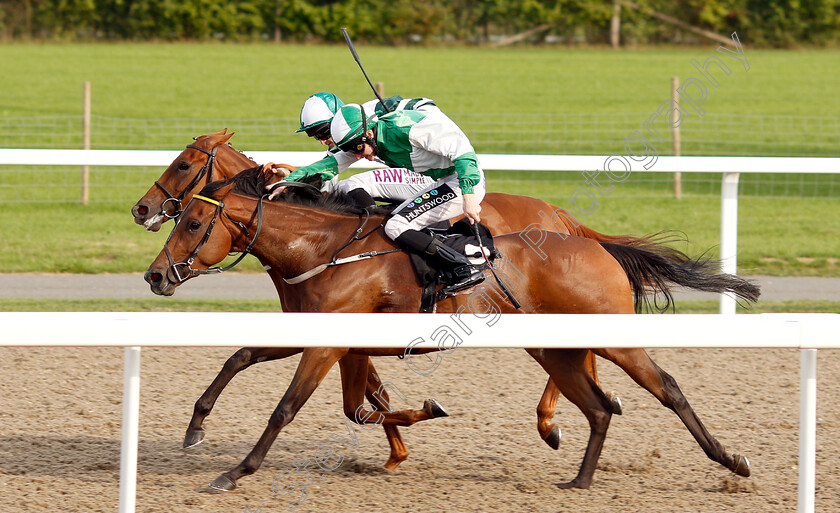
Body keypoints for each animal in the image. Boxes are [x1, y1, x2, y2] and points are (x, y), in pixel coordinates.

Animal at [133, 130, 636, 458]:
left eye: (183, 165)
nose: (141, 209)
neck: (323, 246)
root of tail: (559, 216)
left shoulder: (340, 335)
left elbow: (363, 402)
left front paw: (399, 447)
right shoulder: (321, 332)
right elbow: (248, 359)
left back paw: (556, 422)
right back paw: (584, 409)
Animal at [144, 167, 760, 488]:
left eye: (194, 223)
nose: (155, 275)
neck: (325, 248)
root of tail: (591, 242)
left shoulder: (330, 342)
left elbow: (287, 408)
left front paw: (236, 471)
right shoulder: (315, 333)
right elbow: (239, 358)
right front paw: (195, 426)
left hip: (610, 337)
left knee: (666, 389)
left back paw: (730, 460)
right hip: (553, 347)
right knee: (599, 407)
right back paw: (579, 479)